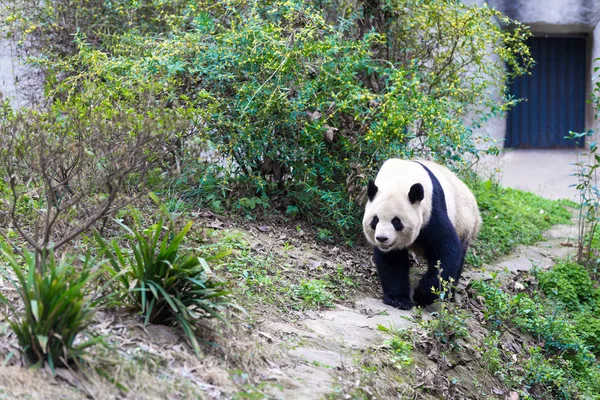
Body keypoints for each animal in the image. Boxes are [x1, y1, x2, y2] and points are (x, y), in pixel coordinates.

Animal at [360, 159, 482, 310]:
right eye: (375, 220)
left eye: (396, 221)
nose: (382, 238)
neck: (399, 177)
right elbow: (392, 260)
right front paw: (398, 299)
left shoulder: (431, 210)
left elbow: (446, 251)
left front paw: (422, 295)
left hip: (464, 221)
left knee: (459, 256)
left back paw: (449, 294)